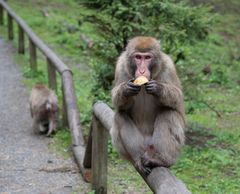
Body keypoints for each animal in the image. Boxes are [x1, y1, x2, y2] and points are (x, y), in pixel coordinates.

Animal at [110, 36, 186, 176]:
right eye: (138, 57)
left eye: (147, 57)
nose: (142, 70)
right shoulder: (121, 66)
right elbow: (119, 104)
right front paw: (125, 90)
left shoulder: (168, 66)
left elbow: (177, 98)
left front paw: (159, 89)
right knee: (120, 116)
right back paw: (137, 158)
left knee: (169, 113)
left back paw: (161, 159)